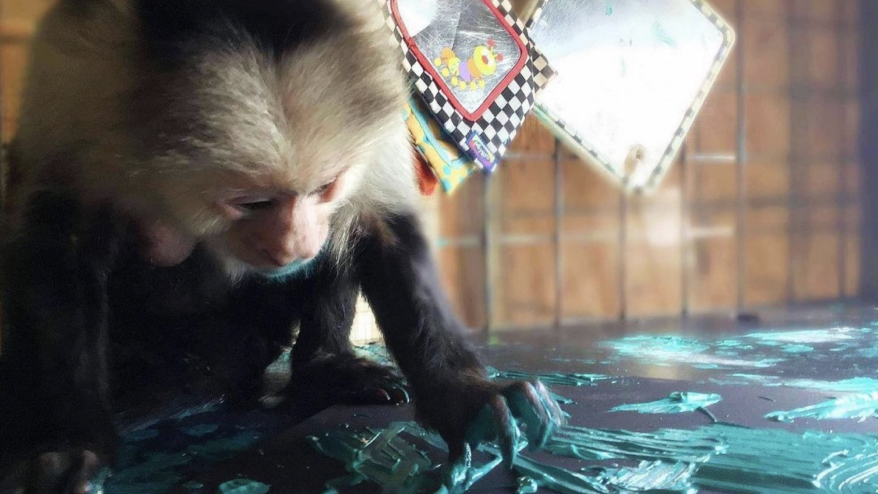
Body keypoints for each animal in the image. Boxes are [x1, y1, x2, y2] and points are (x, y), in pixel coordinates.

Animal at [0, 0, 563, 492]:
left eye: (324, 187)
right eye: (251, 202)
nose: (296, 244)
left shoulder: (377, 67)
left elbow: (381, 226)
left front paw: (464, 397)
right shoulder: (79, 74)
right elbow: (61, 247)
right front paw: (70, 446)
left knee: (338, 243)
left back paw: (325, 368)